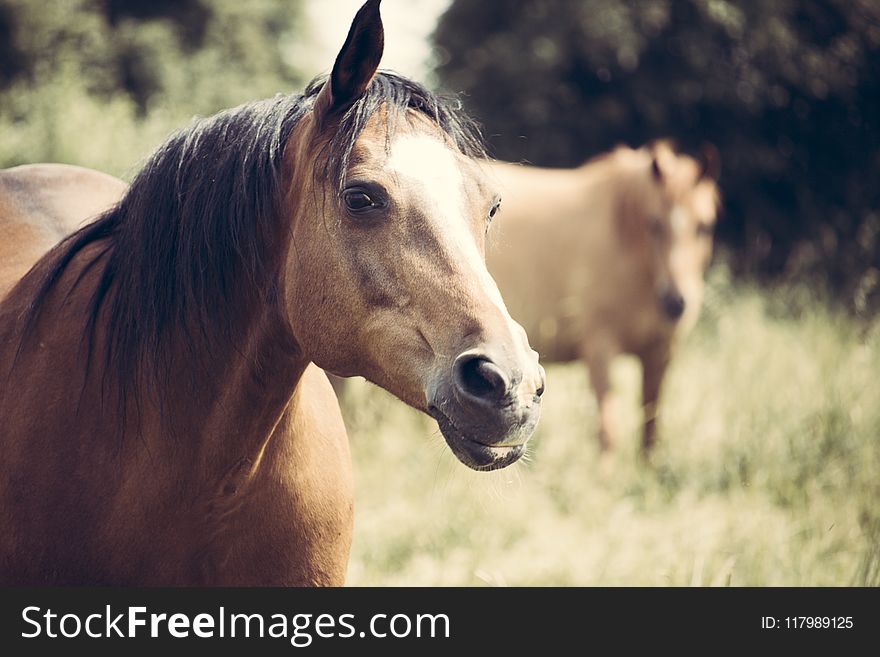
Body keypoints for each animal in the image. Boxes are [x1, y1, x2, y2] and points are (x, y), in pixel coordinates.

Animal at [484, 142, 720, 452]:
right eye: (654, 224)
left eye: (705, 226)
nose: (675, 302)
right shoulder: (600, 348)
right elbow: (609, 433)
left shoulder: (660, 353)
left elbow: (651, 430)